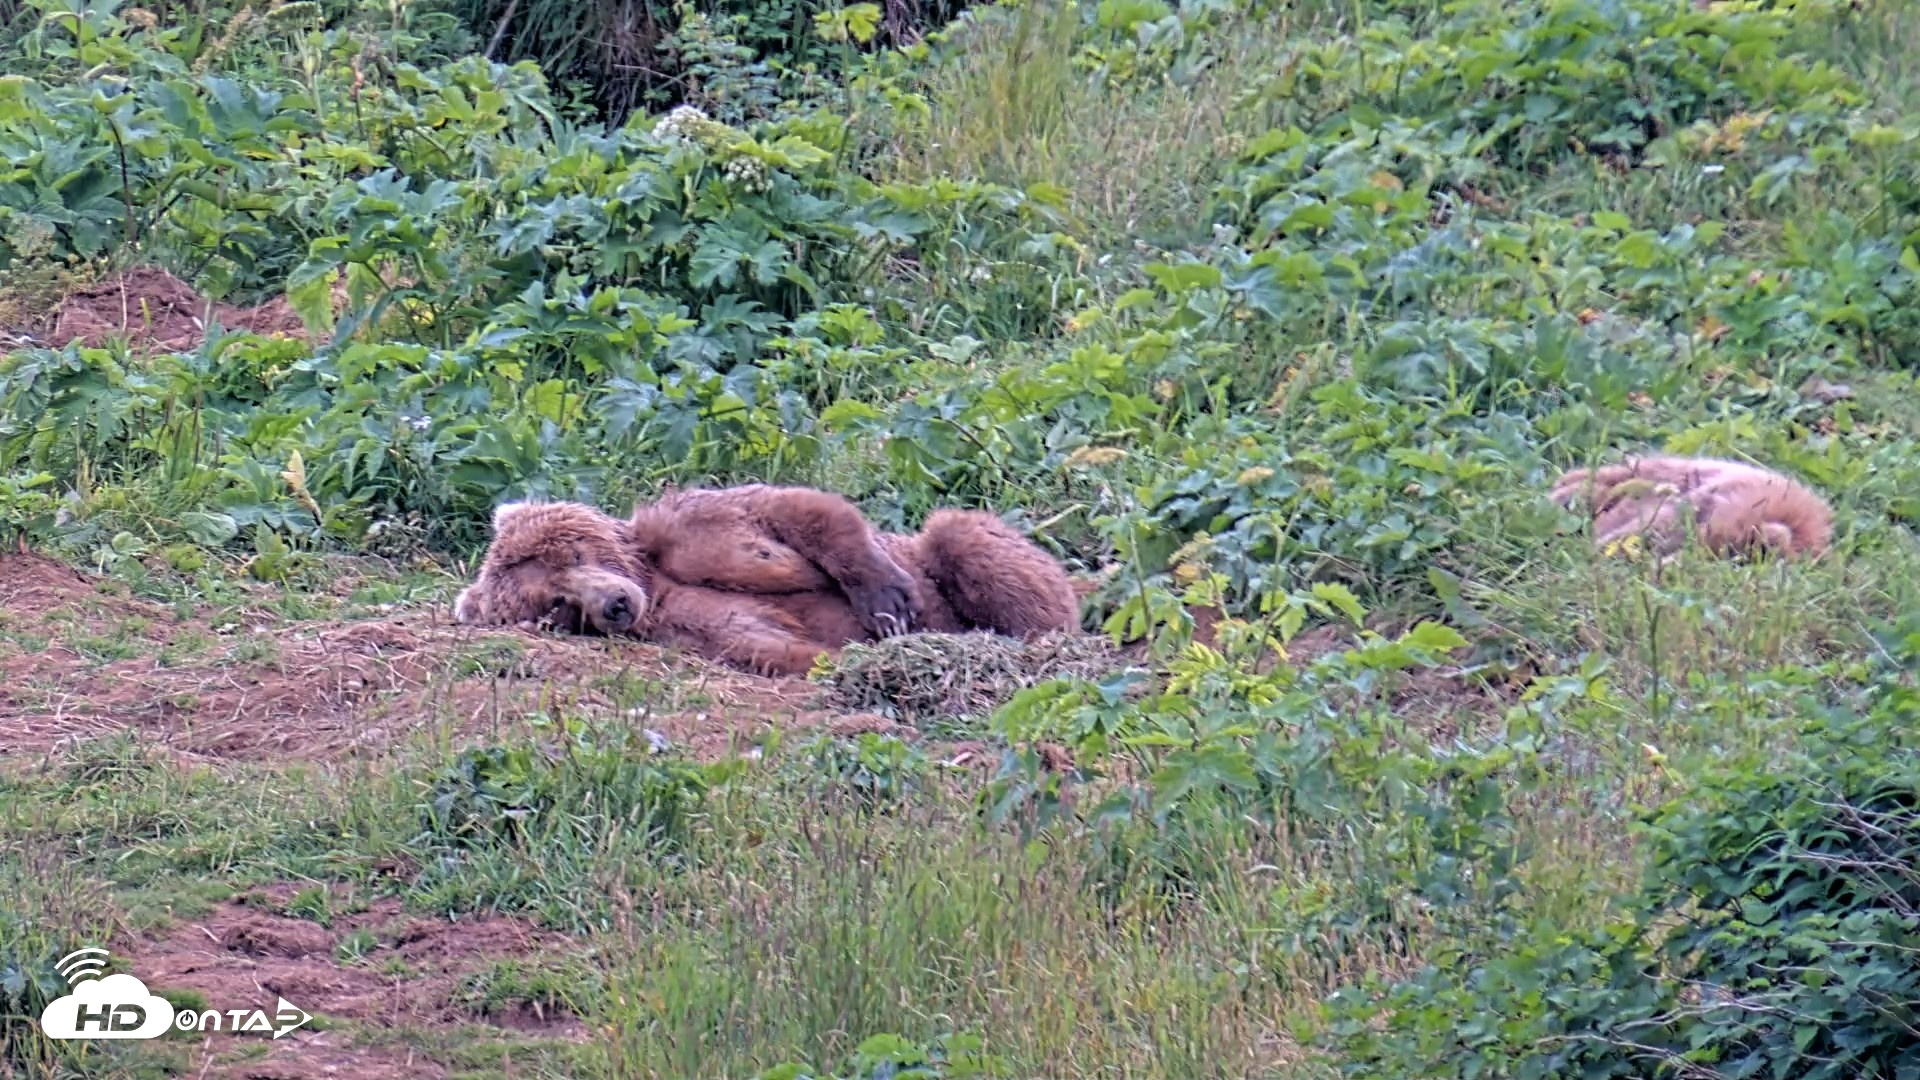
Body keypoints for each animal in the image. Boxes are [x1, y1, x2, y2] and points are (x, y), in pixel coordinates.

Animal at [452, 484, 1083, 677]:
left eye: (574, 552)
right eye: (557, 605)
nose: (613, 605)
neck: (652, 582)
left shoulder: (689, 526)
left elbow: (795, 513)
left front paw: (887, 599)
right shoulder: (691, 627)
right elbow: (771, 645)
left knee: (964, 539)